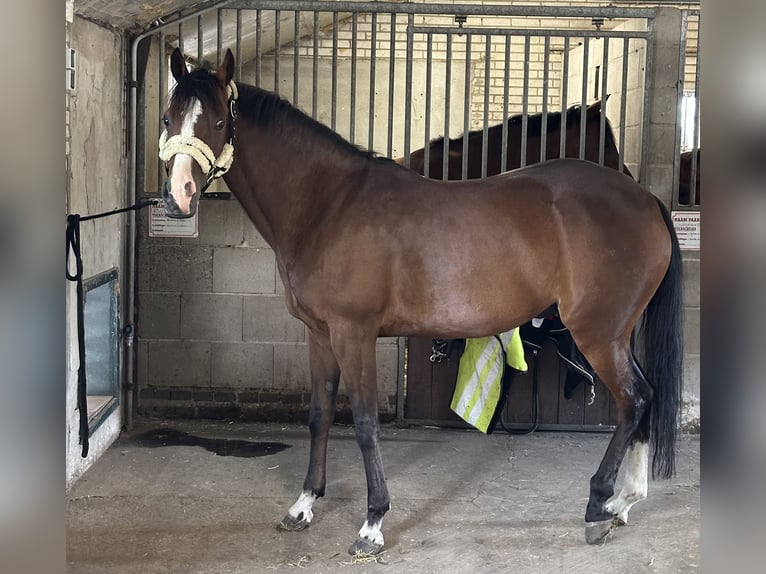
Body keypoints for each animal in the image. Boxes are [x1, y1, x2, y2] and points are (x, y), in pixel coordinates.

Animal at [159, 48, 684, 555]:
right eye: (168, 117)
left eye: (220, 122)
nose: (178, 197)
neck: (328, 205)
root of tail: (644, 200)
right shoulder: (320, 334)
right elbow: (319, 415)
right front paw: (304, 505)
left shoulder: (354, 334)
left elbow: (366, 423)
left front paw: (372, 524)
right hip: (617, 334)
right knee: (646, 396)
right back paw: (624, 502)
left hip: (598, 334)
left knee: (633, 400)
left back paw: (599, 506)